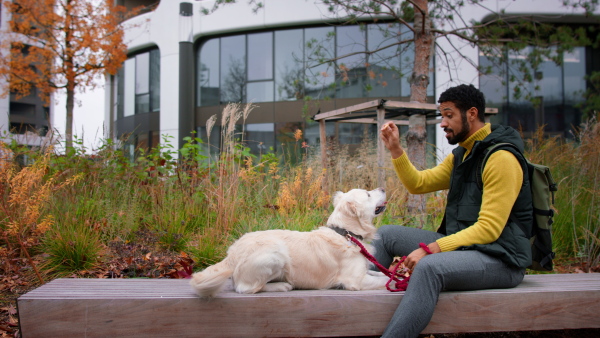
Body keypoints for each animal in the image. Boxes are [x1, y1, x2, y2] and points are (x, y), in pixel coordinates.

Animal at [190, 187, 392, 298]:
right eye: (367, 194)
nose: (383, 188)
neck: (345, 233)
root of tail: (232, 254)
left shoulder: (365, 272)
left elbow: (383, 274)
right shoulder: (356, 280)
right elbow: (385, 280)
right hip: (275, 254)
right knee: (245, 288)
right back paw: (282, 286)